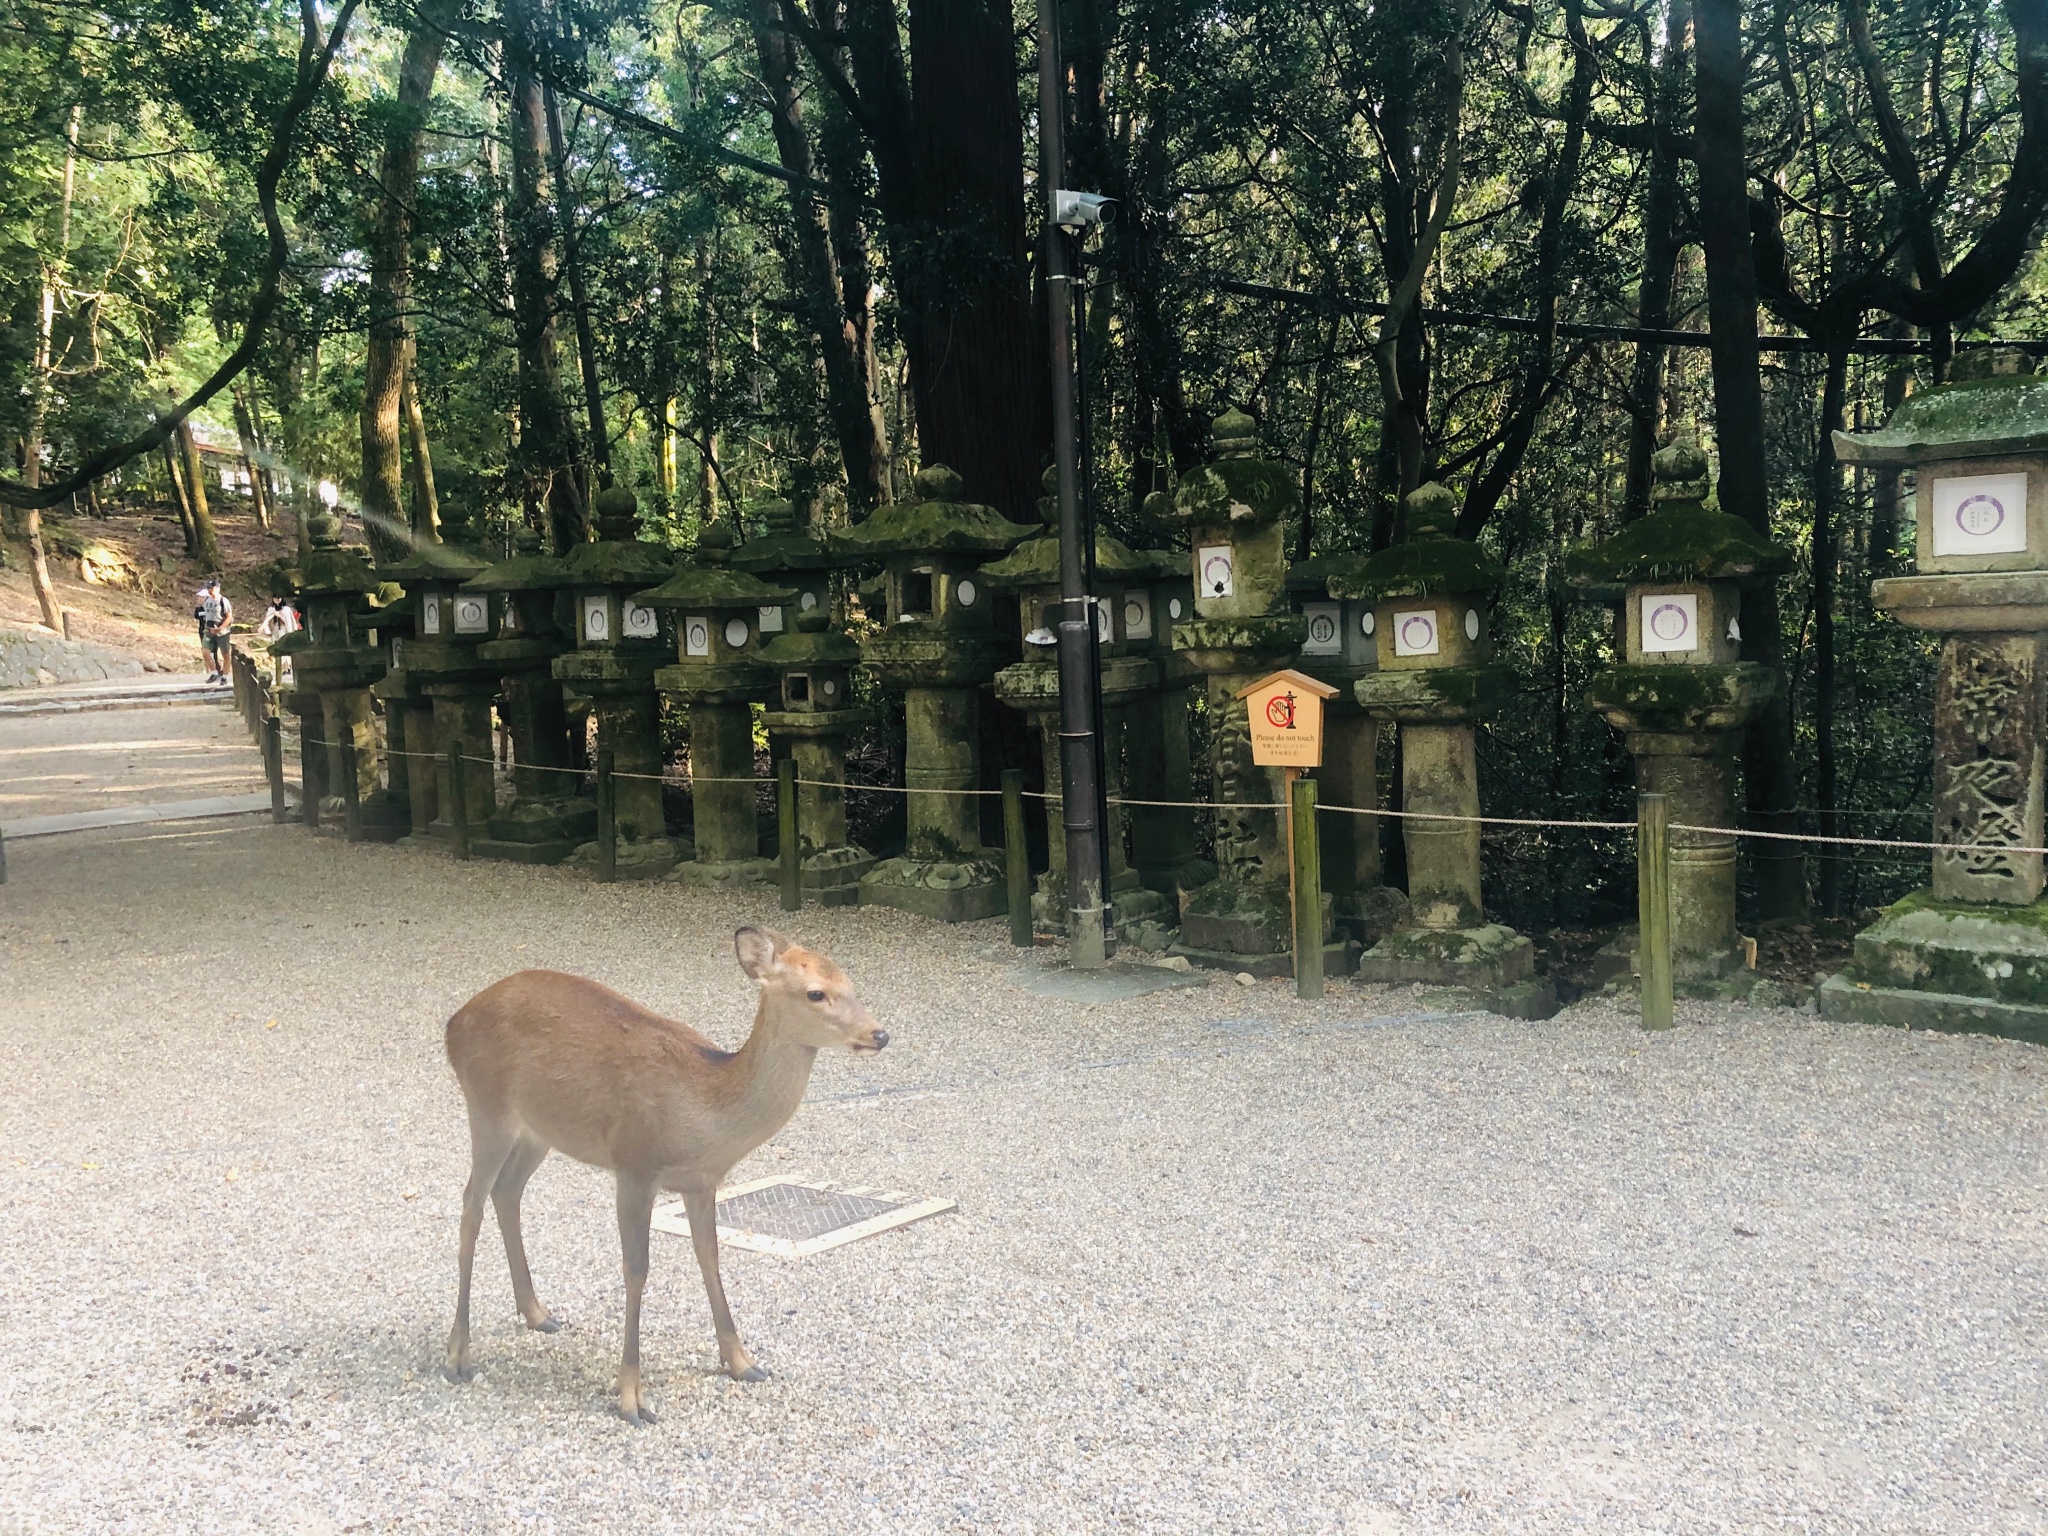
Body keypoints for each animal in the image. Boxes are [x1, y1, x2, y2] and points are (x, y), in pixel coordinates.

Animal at [440, 921, 888, 1425]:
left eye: (850, 982)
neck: (704, 1111)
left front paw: (743, 1363)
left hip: (540, 1130)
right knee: (471, 1203)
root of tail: (453, 1023)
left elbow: (709, 1257)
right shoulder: (634, 1163)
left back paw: (538, 1313)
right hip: (487, 1105)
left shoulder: (702, 1181)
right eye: (816, 993)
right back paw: (458, 1355)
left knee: (507, 1192)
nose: (879, 1034)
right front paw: (631, 1398)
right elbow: (637, 1268)